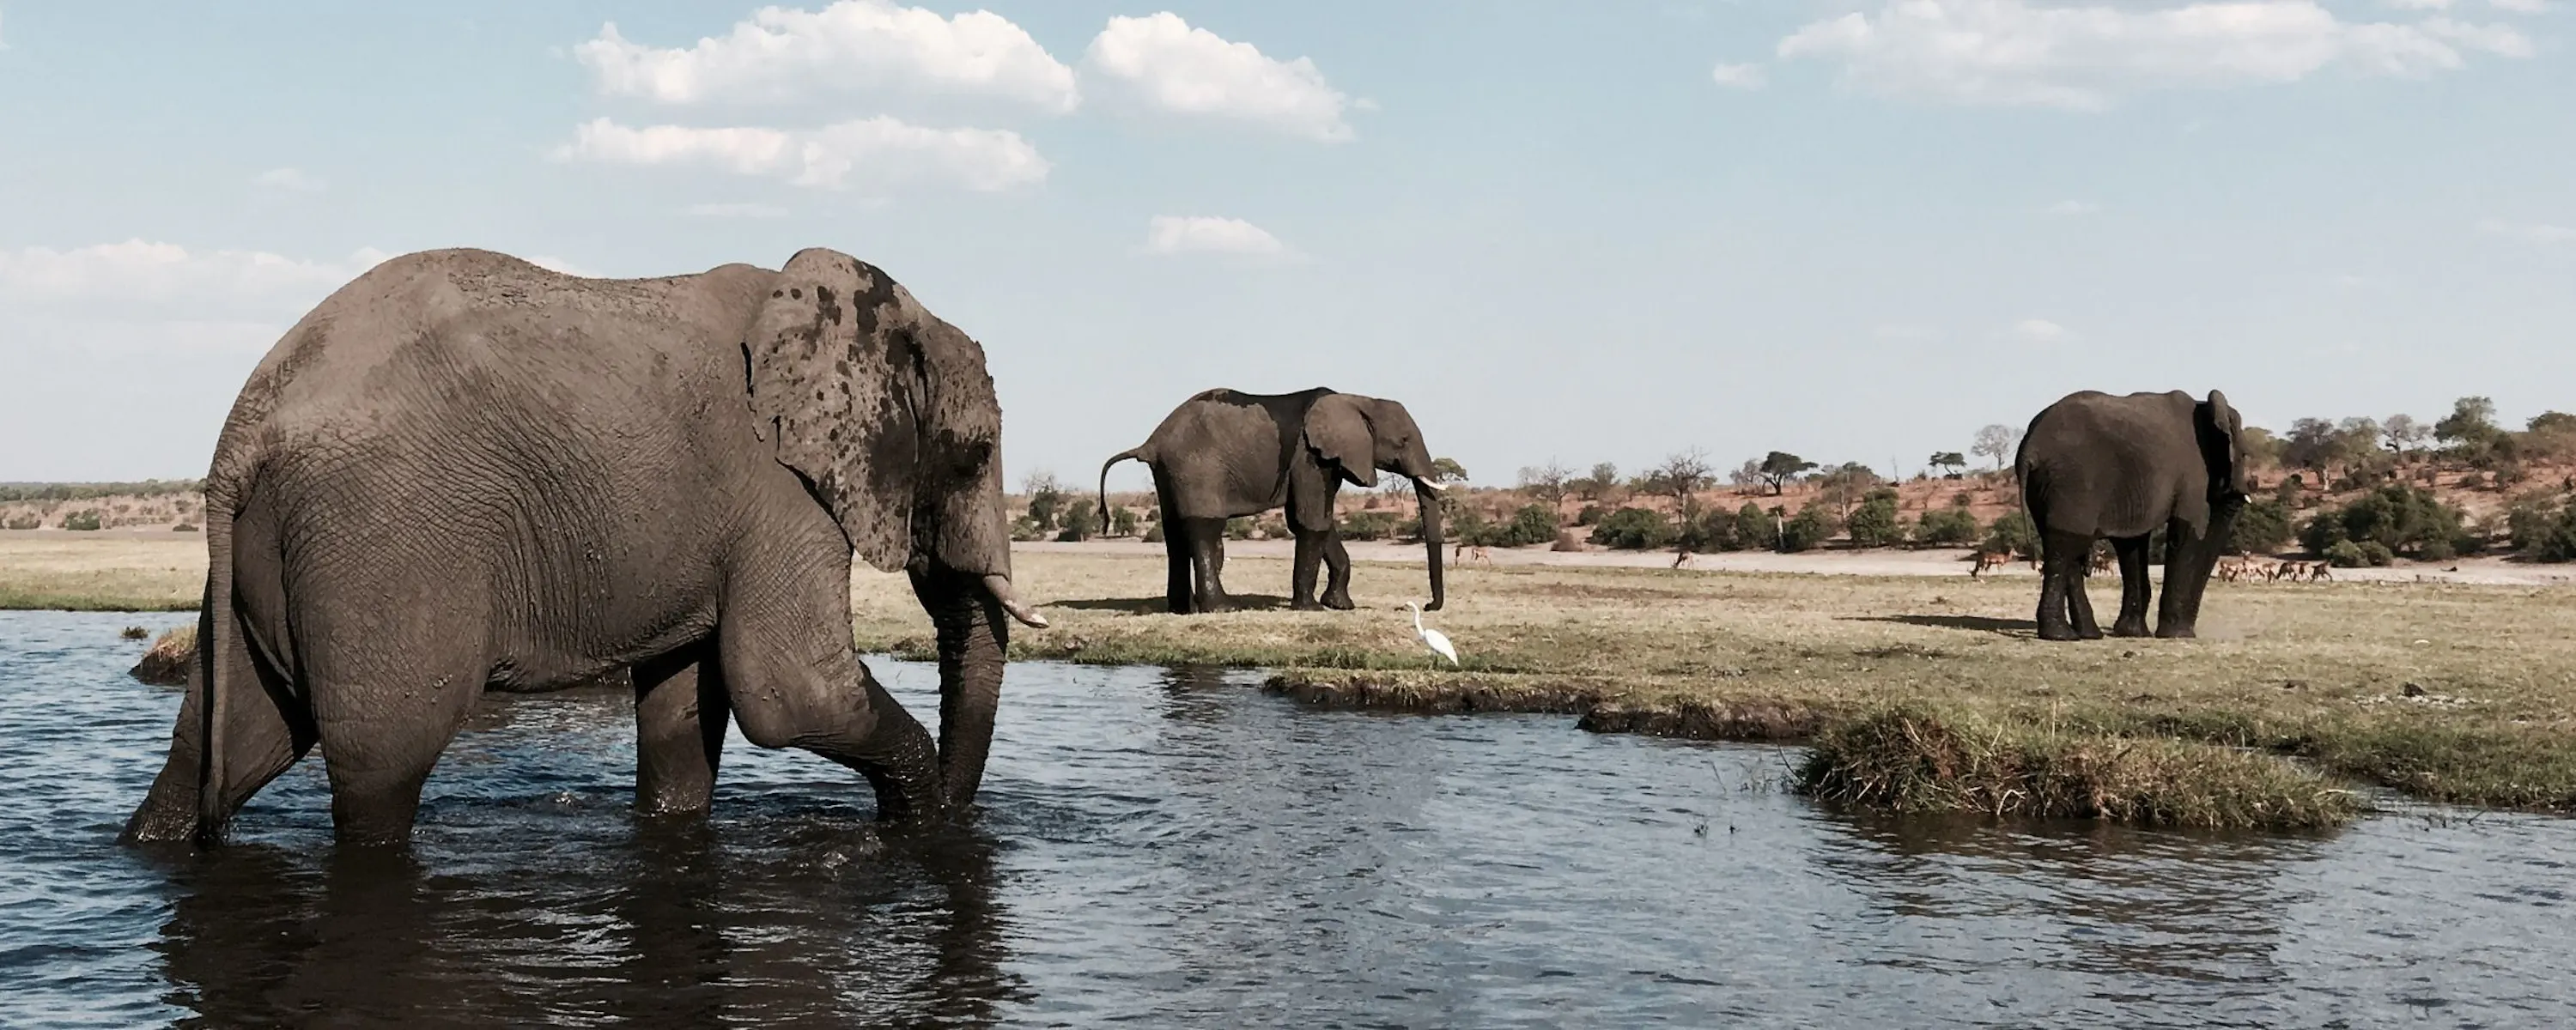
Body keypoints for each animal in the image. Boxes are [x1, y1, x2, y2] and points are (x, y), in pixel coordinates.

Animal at [119, 246, 1047, 848]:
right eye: (973, 456)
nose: (965, 822)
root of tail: (247, 419)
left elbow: (682, 711)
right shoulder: (780, 488)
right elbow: (791, 692)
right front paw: (922, 828)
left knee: (225, 744)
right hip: (379, 540)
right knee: (381, 769)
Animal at [1098, 388, 1446, 614]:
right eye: (1403, 441)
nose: (1428, 606)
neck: (1357, 399)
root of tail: (1151, 442)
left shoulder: (1325, 461)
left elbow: (1314, 520)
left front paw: (1340, 606)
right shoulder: (1311, 456)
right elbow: (1311, 520)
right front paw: (1310, 610)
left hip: (1170, 473)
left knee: (1174, 534)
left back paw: (1181, 609)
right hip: (1196, 467)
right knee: (1204, 529)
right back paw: (1222, 608)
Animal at [2015, 389, 2249, 641]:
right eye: (2245, 455)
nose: (2190, 631)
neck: (2207, 407)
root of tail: (2030, 448)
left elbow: (2132, 544)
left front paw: (2133, 633)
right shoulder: (2194, 475)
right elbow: (2188, 536)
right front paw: (2176, 635)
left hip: (2046, 484)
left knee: (2065, 546)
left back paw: (2088, 634)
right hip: (2072, 481)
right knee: (2064, 545)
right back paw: (2061, 635)